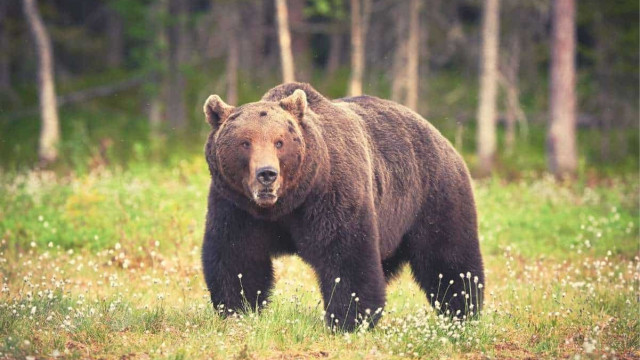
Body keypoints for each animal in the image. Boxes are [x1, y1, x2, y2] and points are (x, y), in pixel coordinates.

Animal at [202, 83, 482, 330]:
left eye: (279, 142)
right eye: (245, 142)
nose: (267, 174)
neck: (286, 203)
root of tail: (442, 137)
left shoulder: (331, 195)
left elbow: (345, 255)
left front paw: (348, 319)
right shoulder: (237, 206)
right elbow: (237, 256)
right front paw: (238, 309)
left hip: (433, 196)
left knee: (449, 258)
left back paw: (463, 312)